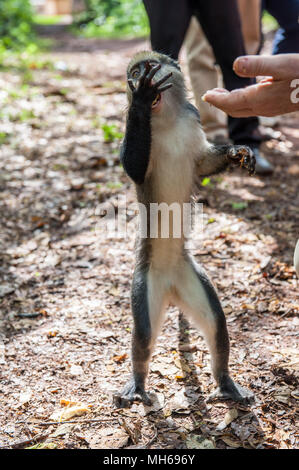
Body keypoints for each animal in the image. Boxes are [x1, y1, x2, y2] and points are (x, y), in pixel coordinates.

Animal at [113, 49, 256, 406]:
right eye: (133, 73)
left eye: (149, 67)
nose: (139, 78)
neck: (165, 119)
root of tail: (171, 287)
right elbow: (134, 167)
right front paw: (140, 98)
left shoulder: (191, 119)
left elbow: (203, 163)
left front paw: (239, 152)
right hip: (146, 282)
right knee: (144, 333)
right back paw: (137, 383)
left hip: (192, 277)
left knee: (217, 324)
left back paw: (226, 383)